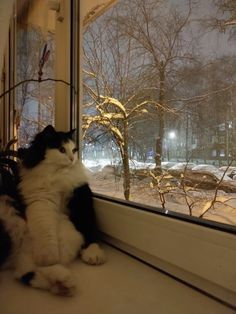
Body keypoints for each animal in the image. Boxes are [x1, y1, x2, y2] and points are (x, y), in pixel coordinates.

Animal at [0, 124, 105, 294]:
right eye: (61, 149)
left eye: (74, 150)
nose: (72, 159)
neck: (58, 176)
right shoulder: (41, 201)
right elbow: (46, 233)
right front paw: (49, 257)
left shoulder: (81, 197)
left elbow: (89, 227)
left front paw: (93, 253)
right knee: (25, 272)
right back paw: (62, 280)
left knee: (25, 271)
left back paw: (64, 283)